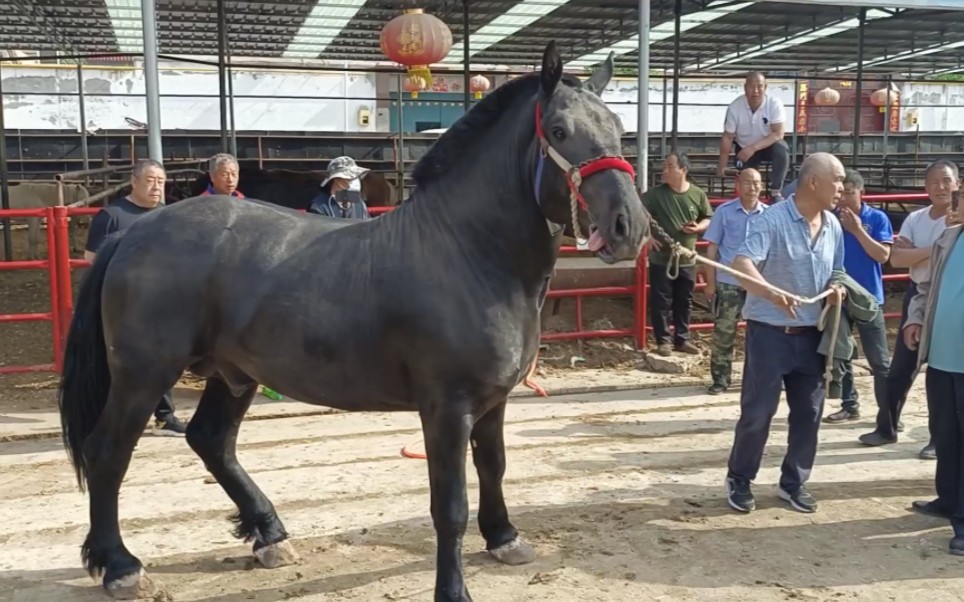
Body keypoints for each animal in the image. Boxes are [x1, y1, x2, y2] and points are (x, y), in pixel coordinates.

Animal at [56, 43, 652, 600]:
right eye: (559, 130)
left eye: (619, 129)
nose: (630, 226)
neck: (468, 252)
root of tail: (134, 232)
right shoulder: (447, 406)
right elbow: (449, 505)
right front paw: (453, 589)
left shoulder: (493, 400)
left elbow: (494, 465)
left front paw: (504, 537)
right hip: (142, 374)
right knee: (107, 452)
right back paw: (120, 566)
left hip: (234, 373)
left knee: (211, 441)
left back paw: (269, 534)